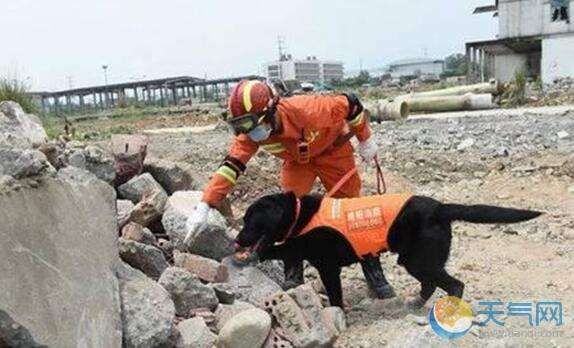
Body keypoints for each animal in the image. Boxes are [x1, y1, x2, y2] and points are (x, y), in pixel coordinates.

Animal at [235, 192, 544, 308]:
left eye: (249, 221)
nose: (238, 239)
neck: (300, 214)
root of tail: (440, 207)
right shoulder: (298, 248)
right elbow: (283, 249)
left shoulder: (327, 266)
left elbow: (334, 295)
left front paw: (337, 313)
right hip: (414, 259)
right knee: (432, 284)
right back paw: (417, 303)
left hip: (420, 259)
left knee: (454, 284)